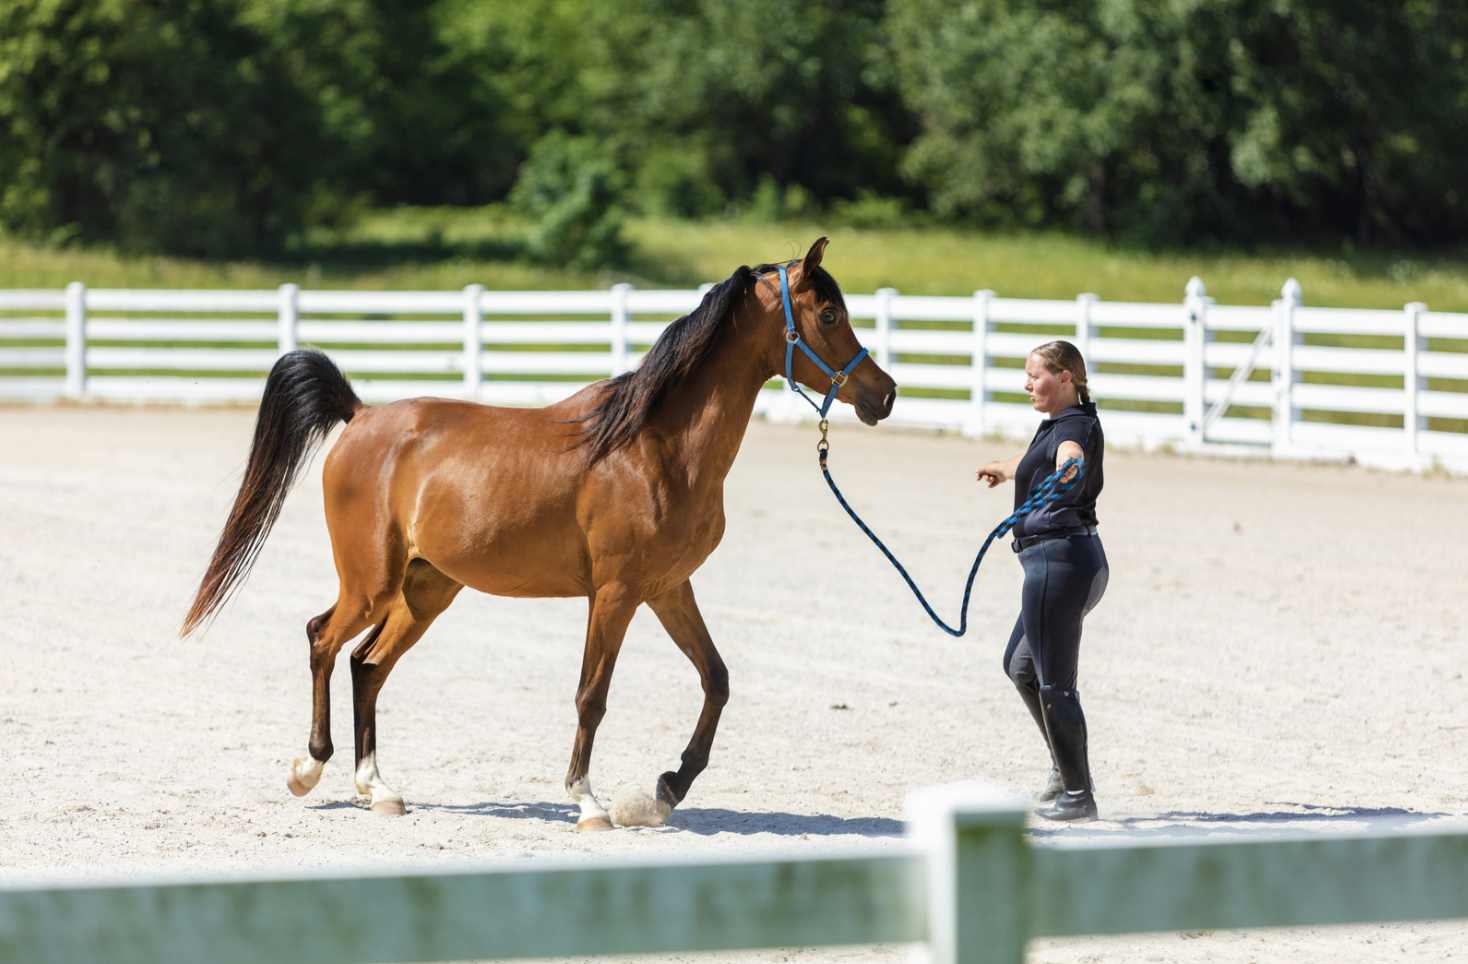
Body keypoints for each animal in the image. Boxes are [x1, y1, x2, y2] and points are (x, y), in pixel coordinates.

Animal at [182, 238, 896, 830]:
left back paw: (378, 789)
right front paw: (588, 802)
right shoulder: (615, 594)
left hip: (424, 591)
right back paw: (309, 770)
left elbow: (716, 680)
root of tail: (360, 417)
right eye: (828, 316)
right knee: (322, 639)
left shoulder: (667, 588)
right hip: (371, 582)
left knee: (367, 665)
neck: (654, 447)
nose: (884, 394)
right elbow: (592, 696)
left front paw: (666, 790)